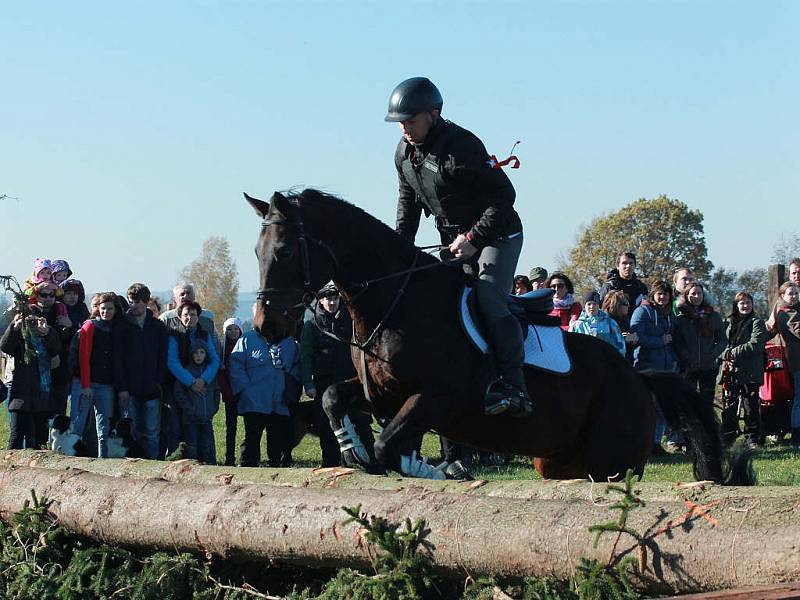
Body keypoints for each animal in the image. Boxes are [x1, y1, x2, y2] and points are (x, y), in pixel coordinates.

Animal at [245, 189, 744, 482]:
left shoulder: (437, 398)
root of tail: (640, 379)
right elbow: (332, 396)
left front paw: (421, 467)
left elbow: (389, 444)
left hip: (609, 461)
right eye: (256, 251)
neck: (395, 302)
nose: (266, 326)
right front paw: (351, 449)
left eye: (284, 250)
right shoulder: (383, 393)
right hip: (558, 462)